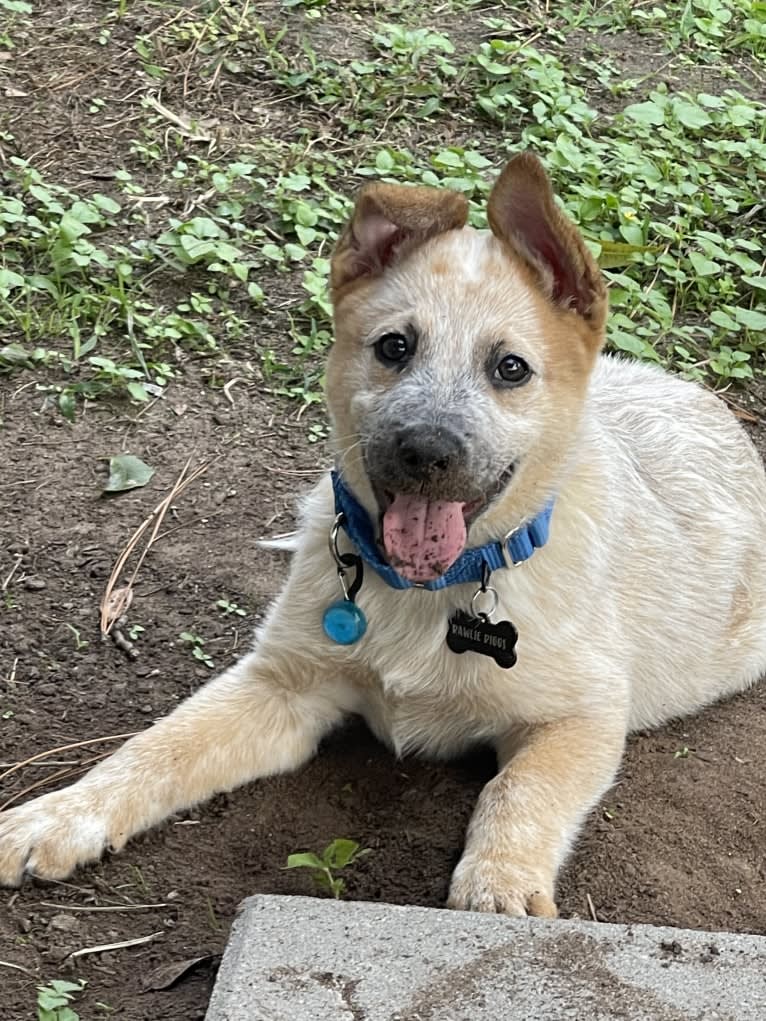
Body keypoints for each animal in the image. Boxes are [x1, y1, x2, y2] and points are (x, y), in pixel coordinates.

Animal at [1, 153, 766, 918]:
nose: (427, 450)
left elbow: (519, 791)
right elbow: (159, 745)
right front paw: (60, 814)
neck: (429, 591)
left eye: (510, 367)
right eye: (395, 346)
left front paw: (498, 889)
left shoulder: (581, 717)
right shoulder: (279, 685)